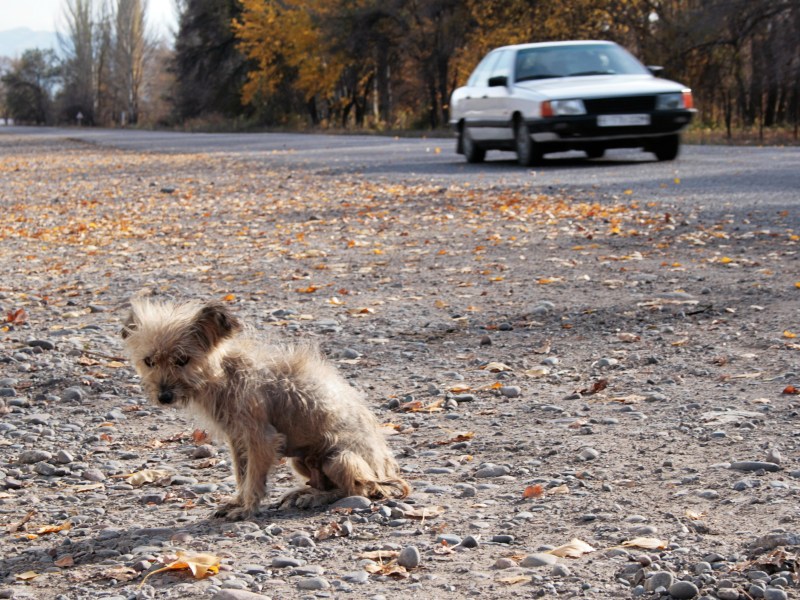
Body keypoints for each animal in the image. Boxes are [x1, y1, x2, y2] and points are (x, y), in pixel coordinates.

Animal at [122, 300, 410, 520]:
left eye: (182, 360)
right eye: (149, 361)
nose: (164, 397)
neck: (225, 374)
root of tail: (386, 473)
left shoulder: (261, 439)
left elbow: (253, 480)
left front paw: (247, 510)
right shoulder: (238, 441)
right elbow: (242, 476)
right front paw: (238, 502)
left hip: (338, 458)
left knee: (359, 489)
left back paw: (318, 498)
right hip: (302, 461)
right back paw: (306, 493)